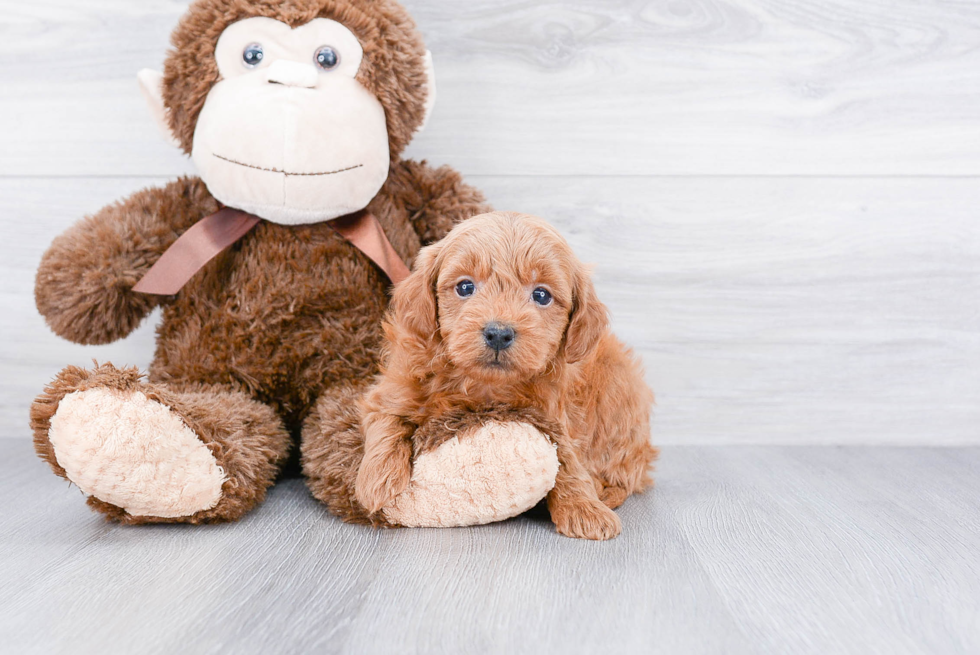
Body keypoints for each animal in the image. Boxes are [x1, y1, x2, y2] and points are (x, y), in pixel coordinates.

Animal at [356, 213, 656, 540]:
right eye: (465, 287)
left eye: (541, 295)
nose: (498, 333)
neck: (483, 386)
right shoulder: (392, 388)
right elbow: (387, 421)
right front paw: (377, 480)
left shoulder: (552, 415)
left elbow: (566, 458)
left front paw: (583, 507)